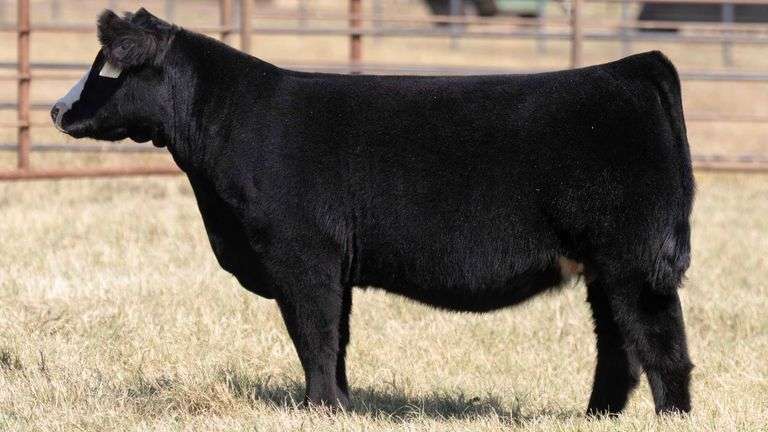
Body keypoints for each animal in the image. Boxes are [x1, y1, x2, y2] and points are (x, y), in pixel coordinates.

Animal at [51, 8, 695, 416]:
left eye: (108, 68)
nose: (57, 110)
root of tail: (634, 67)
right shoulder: (332, 264)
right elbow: (335, 339)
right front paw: (340, 403)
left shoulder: (302, 256)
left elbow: (313, 333)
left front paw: (319, 408)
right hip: (604, 269)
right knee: (619, 349)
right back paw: (596, 416)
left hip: (632, 264)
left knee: (662, 347)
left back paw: (670, 416)